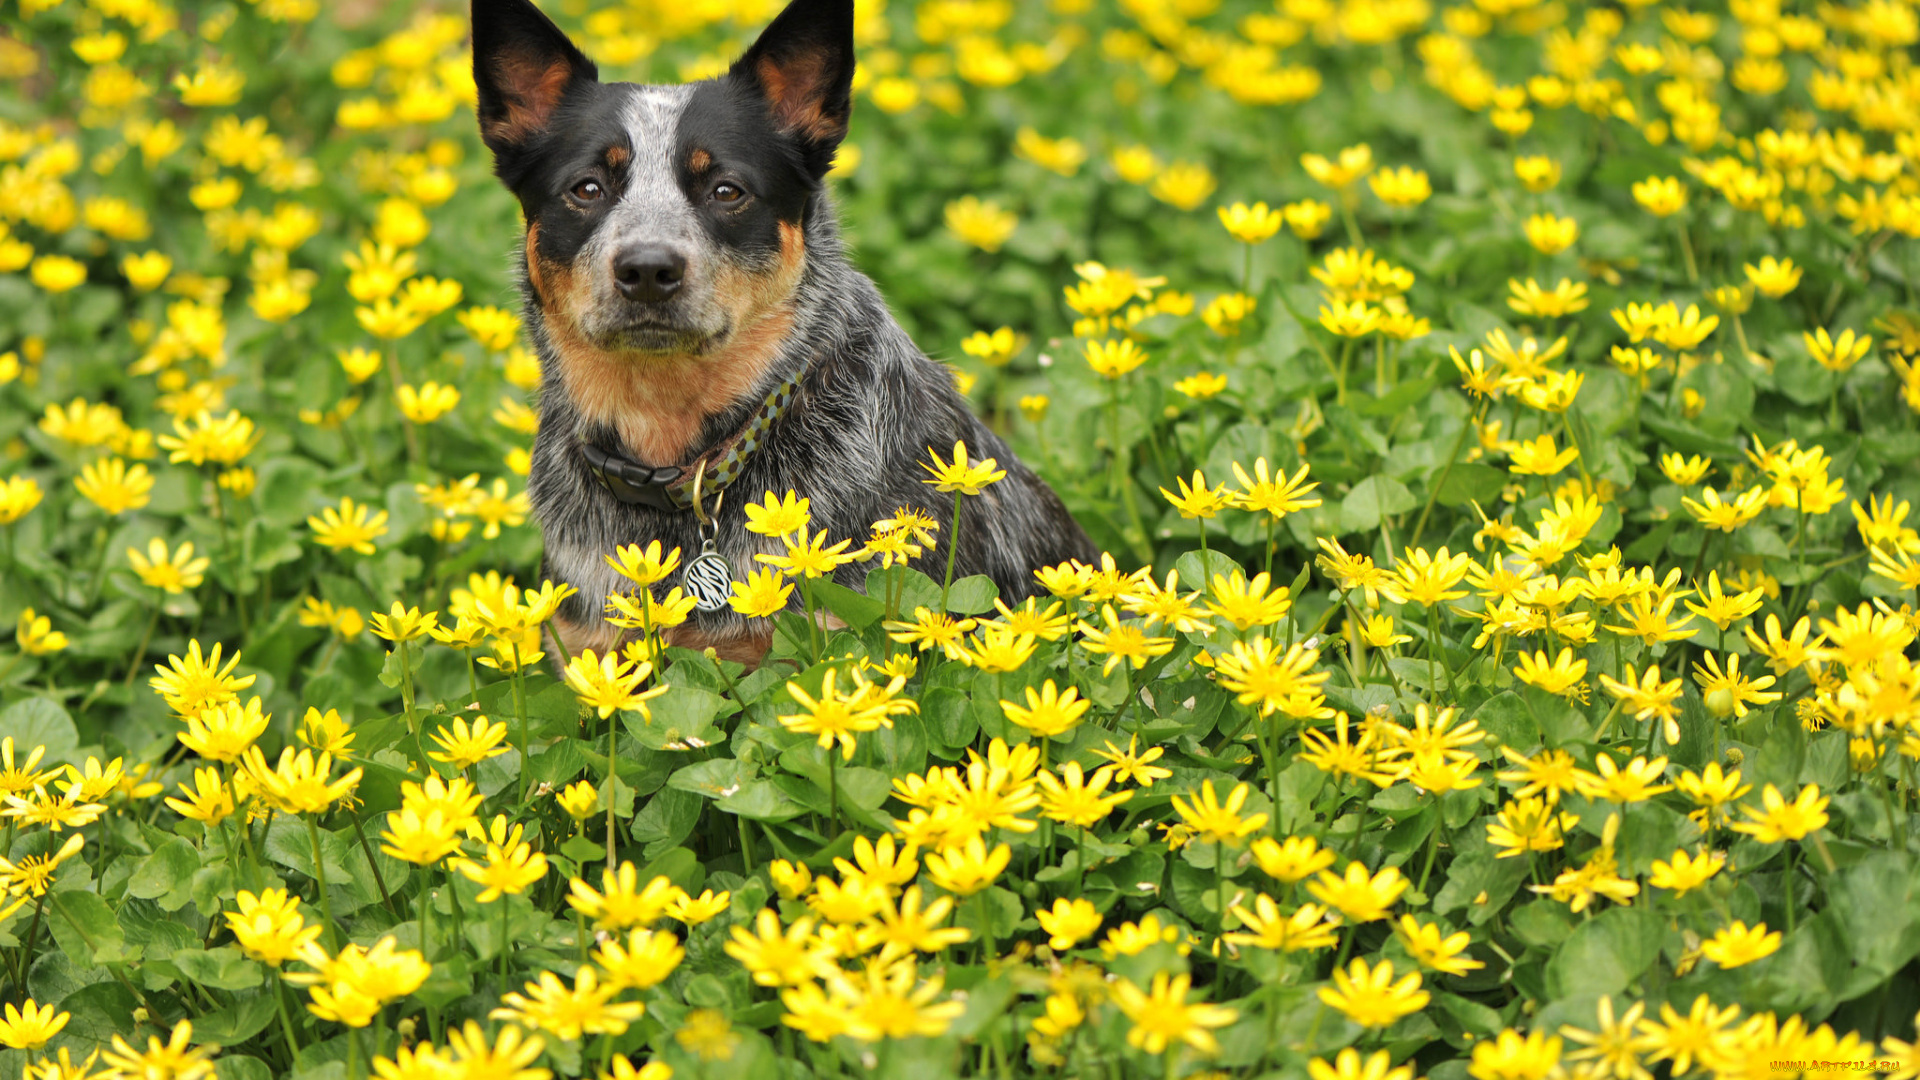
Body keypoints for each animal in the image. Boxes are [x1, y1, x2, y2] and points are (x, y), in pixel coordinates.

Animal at [470, 0, 1098, 661]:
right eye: (587, 188)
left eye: (727, 190)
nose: (647, 269)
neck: (675, 454)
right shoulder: (585, 645)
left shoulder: (838, 638)